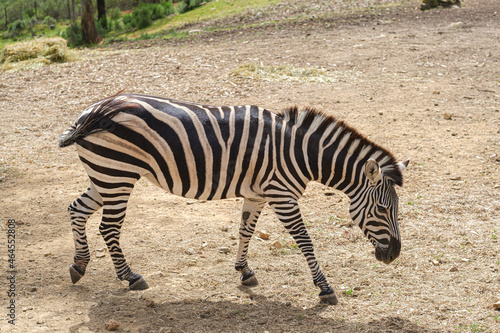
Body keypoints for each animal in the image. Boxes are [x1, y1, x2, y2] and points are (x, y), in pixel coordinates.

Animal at [59, 92, 410, 304]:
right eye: (382, 208)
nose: (393, 255)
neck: (298, 152)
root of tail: (93, 110)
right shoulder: (282, 195)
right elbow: (305, 240)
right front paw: (324, 288)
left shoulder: (257, 194)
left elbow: (245, 231)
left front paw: (244, 271)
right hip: (117, 175)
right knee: (108, 227)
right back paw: (130, 277)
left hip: (104, 175)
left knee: (76, 210)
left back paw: (79, 265)